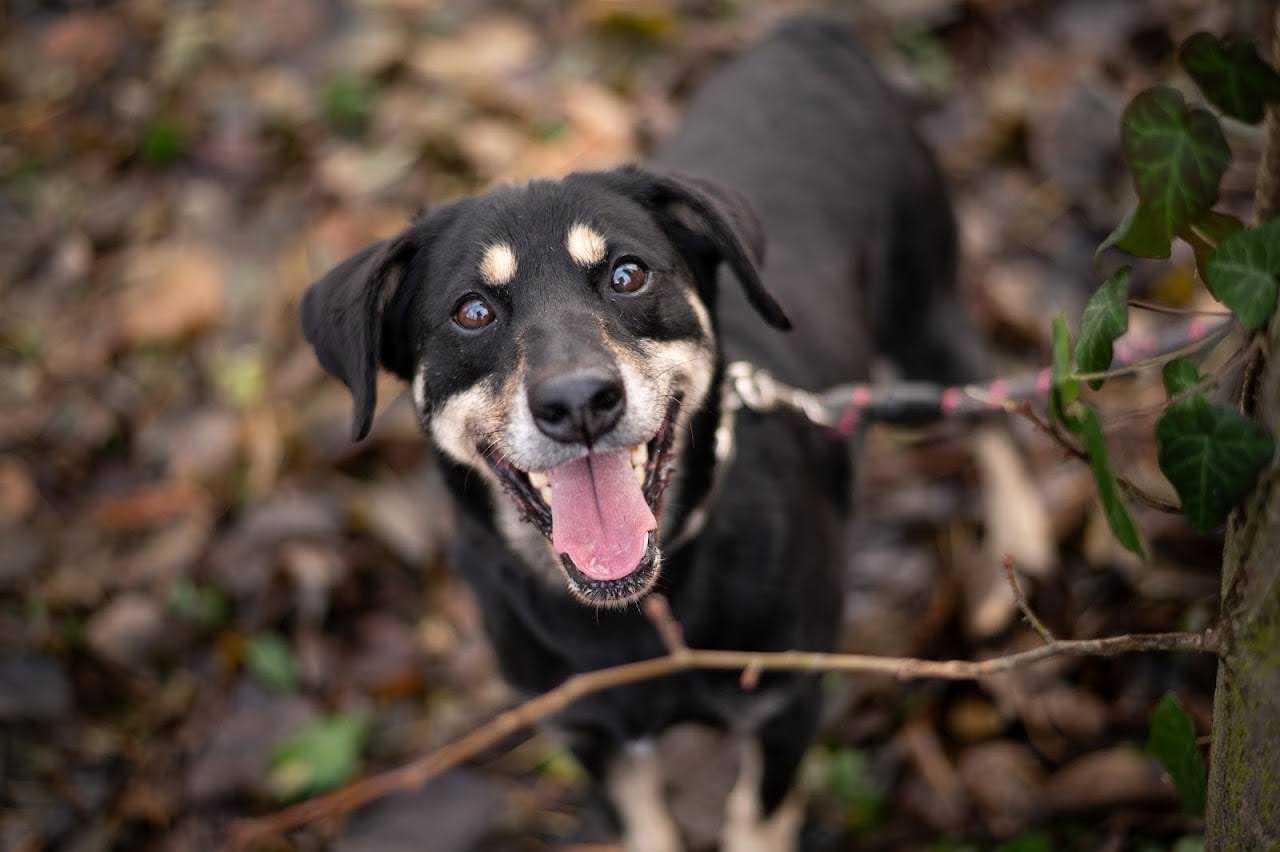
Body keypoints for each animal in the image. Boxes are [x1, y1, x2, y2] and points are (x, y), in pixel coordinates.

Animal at [304, 16, 1044, 844]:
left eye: (628, 274)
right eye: (472, 310)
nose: (580, 401)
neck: (636, 611)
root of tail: (808, 32)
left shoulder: (784, 706)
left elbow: (757, 822)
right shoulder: (590, 736)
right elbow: (644, 827)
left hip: (922, 308)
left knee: (986, 404)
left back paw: (1020, 544)